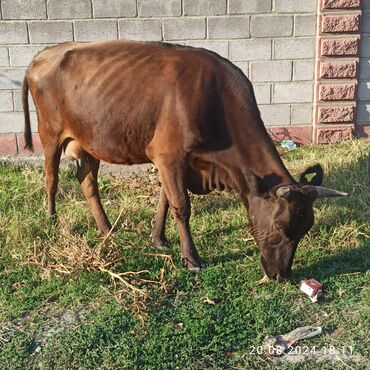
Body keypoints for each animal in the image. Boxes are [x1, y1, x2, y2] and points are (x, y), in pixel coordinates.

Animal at [23, 40, 346, 282]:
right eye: (280, 227)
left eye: (306, 228)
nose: (281, 275)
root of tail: (44, 54)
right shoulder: (169, 155)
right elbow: (181, 206)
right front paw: (191, 258)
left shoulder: (177, 161)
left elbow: (165, 200)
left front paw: (159, 238)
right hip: (50, 133)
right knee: (51, 177)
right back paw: (52, 218)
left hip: (87, 140)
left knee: (87, 181)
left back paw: (106, 228)